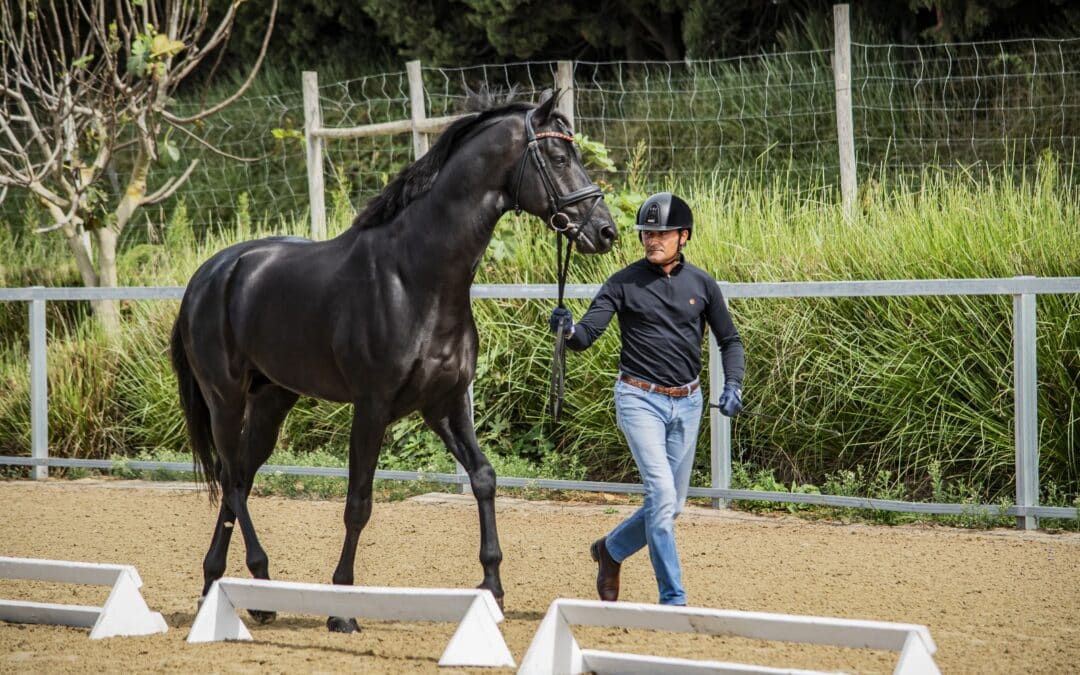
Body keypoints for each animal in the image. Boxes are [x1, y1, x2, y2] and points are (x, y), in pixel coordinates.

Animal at [173, 89, 622, 630]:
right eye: (558, 157)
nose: (605, 231)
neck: (414, 277)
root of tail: (209, 275)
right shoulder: (371, 409)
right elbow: (358, 503)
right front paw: (342, 609)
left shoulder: (445, 404)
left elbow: (484, 478)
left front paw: (492, 588)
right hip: (225, 399)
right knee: (232, 481)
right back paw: (242, 585)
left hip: (272, 401)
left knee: (238, 476)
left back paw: (233, 590)